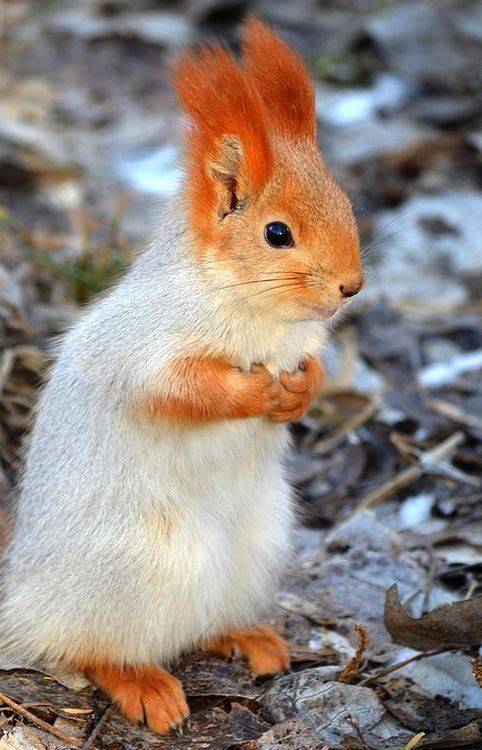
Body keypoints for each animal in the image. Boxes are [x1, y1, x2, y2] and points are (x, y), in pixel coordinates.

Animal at [0, 19, 362, 740]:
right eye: (277, 233)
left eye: (345, 201)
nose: (351, 286)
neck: (262, 317)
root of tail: (23, 596)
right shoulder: (142, 350)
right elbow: (183, 390)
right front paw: (255, 392)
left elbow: (310, 371)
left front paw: (297, 391)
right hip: (134, 570)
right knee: (90, 649)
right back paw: (144, 685)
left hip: (253, 548)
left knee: (198, 628)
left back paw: (248, 639)